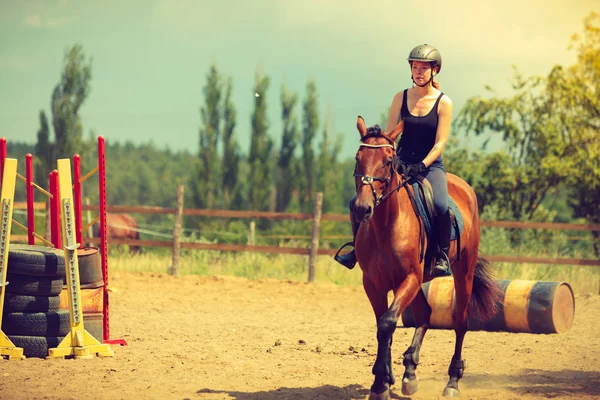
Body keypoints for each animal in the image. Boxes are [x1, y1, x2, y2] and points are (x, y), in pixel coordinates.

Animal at [352, 116, 502, 400]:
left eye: (388, 161)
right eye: (358, 158)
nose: (362, 208)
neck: (386, 225)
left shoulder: (409, 278)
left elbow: (387, 323)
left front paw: (380, 383)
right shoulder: (373, 283)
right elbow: (382, 326)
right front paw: (384, 379)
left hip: (462, 274)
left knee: (461, 322)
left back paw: (452, 382)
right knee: (425, 314)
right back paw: (409, 373)